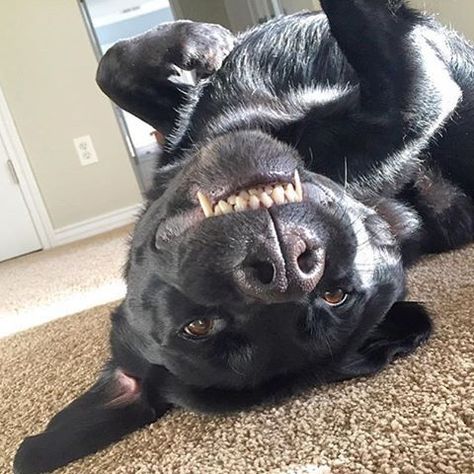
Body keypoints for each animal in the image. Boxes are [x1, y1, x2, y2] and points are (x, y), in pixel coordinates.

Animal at [13, 1, 474, 472]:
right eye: (198, 326)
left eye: (335, 295)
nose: (283, 265)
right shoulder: (403, 104)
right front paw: (203, 43)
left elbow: (111, 69)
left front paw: (204, 45)